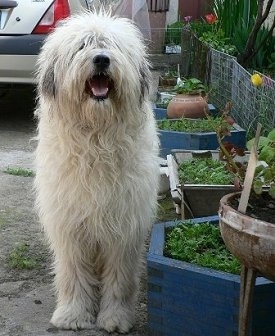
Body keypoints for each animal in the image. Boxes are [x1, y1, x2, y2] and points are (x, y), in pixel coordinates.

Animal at [34, 9, 160, 334]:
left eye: (112, 46)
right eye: (82, 46)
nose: (102, 59)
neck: (96, 139)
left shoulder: (123, 228)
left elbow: (119, 279)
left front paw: (115, 317)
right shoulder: (70, 226)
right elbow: (74, 274)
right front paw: (73, 315)